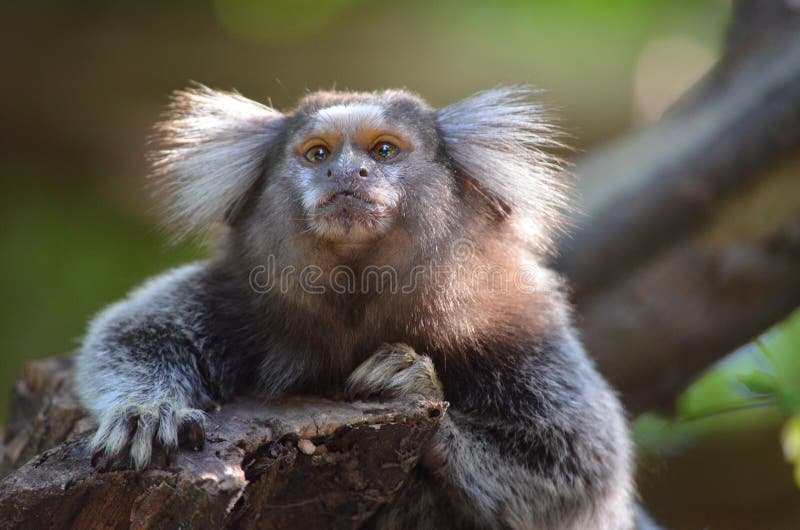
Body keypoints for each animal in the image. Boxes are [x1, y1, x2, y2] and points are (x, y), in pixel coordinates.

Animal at [75, 84, 636, 524]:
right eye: (318, 155)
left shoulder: (515, 320)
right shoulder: (239, 293)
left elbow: (580, 469)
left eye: (384, 150)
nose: (348, 172)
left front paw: (413, 383)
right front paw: (147, 413)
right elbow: (133, 334)